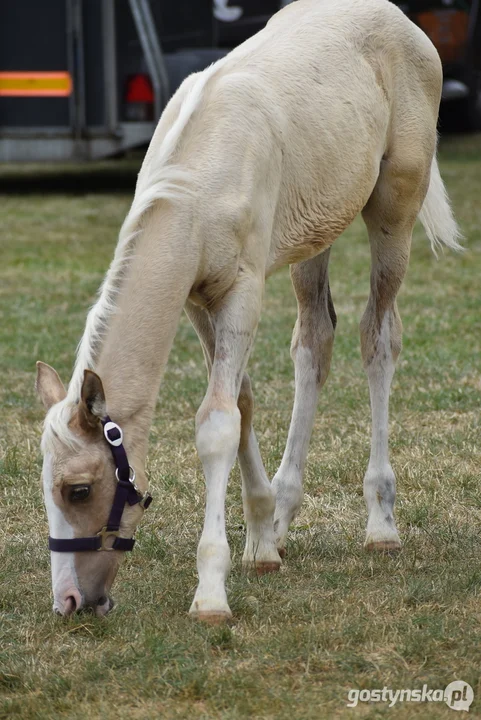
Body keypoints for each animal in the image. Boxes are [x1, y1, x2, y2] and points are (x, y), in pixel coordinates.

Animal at [35, 0, 460, 620]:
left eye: (80, 490)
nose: (68, 600)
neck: (199, 179)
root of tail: (399, 19)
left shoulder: (243, 292)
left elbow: (217, 422)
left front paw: (212, 592)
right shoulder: (197, 301)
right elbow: (242, 400)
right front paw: (261, 541)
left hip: (394, 212)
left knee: (378, 339)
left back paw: (381, 523)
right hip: (316, 231)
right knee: (315, 340)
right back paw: (284, 511)